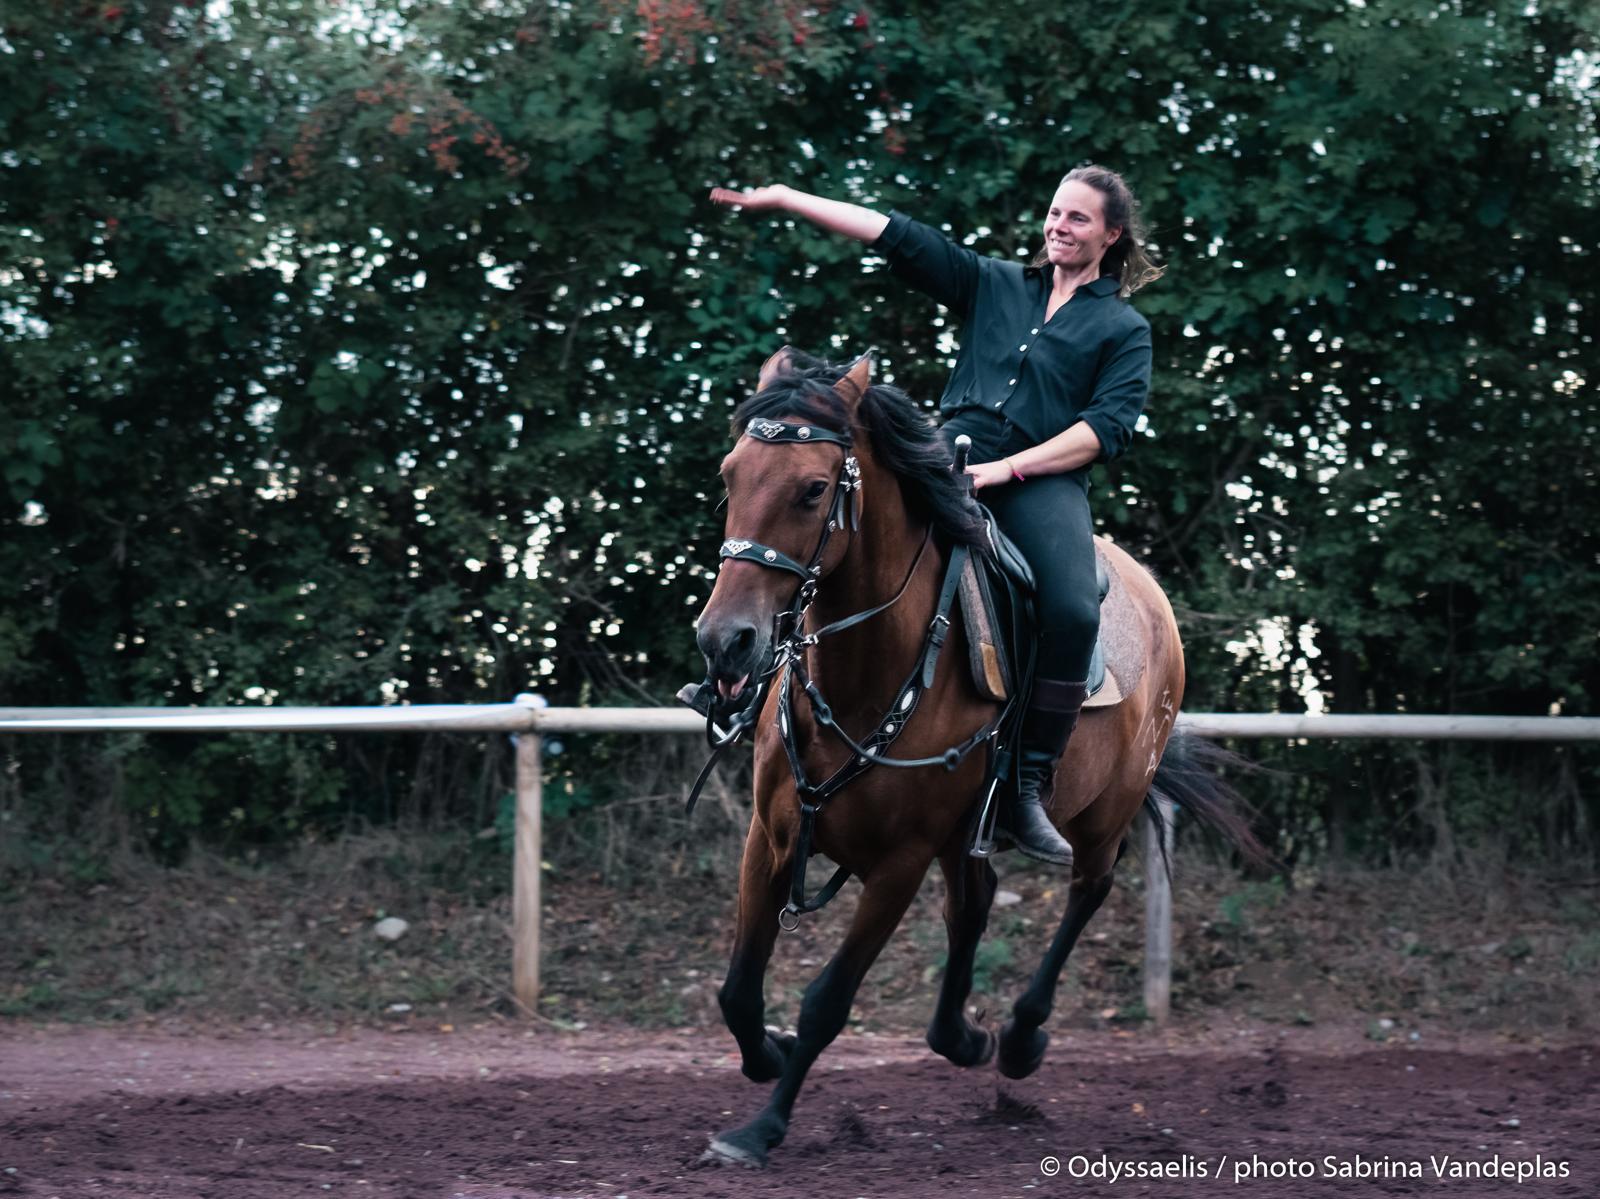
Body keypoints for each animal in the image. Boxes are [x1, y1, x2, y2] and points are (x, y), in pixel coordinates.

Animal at [693, 348, 1261, 1167]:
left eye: (812, 489)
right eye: (731, 473)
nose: (725, 642)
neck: (870, 674)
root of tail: (1153, 597)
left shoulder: (898, 864)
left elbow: (829, 1000)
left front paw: (760, 1128)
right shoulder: (770, 837)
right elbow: (738, 989)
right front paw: (770, 1050)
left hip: (1102, 814)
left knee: (1088, 889)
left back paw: (1022, 1035)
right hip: (967, 835)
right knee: (976, 903)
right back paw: (961, 1036)